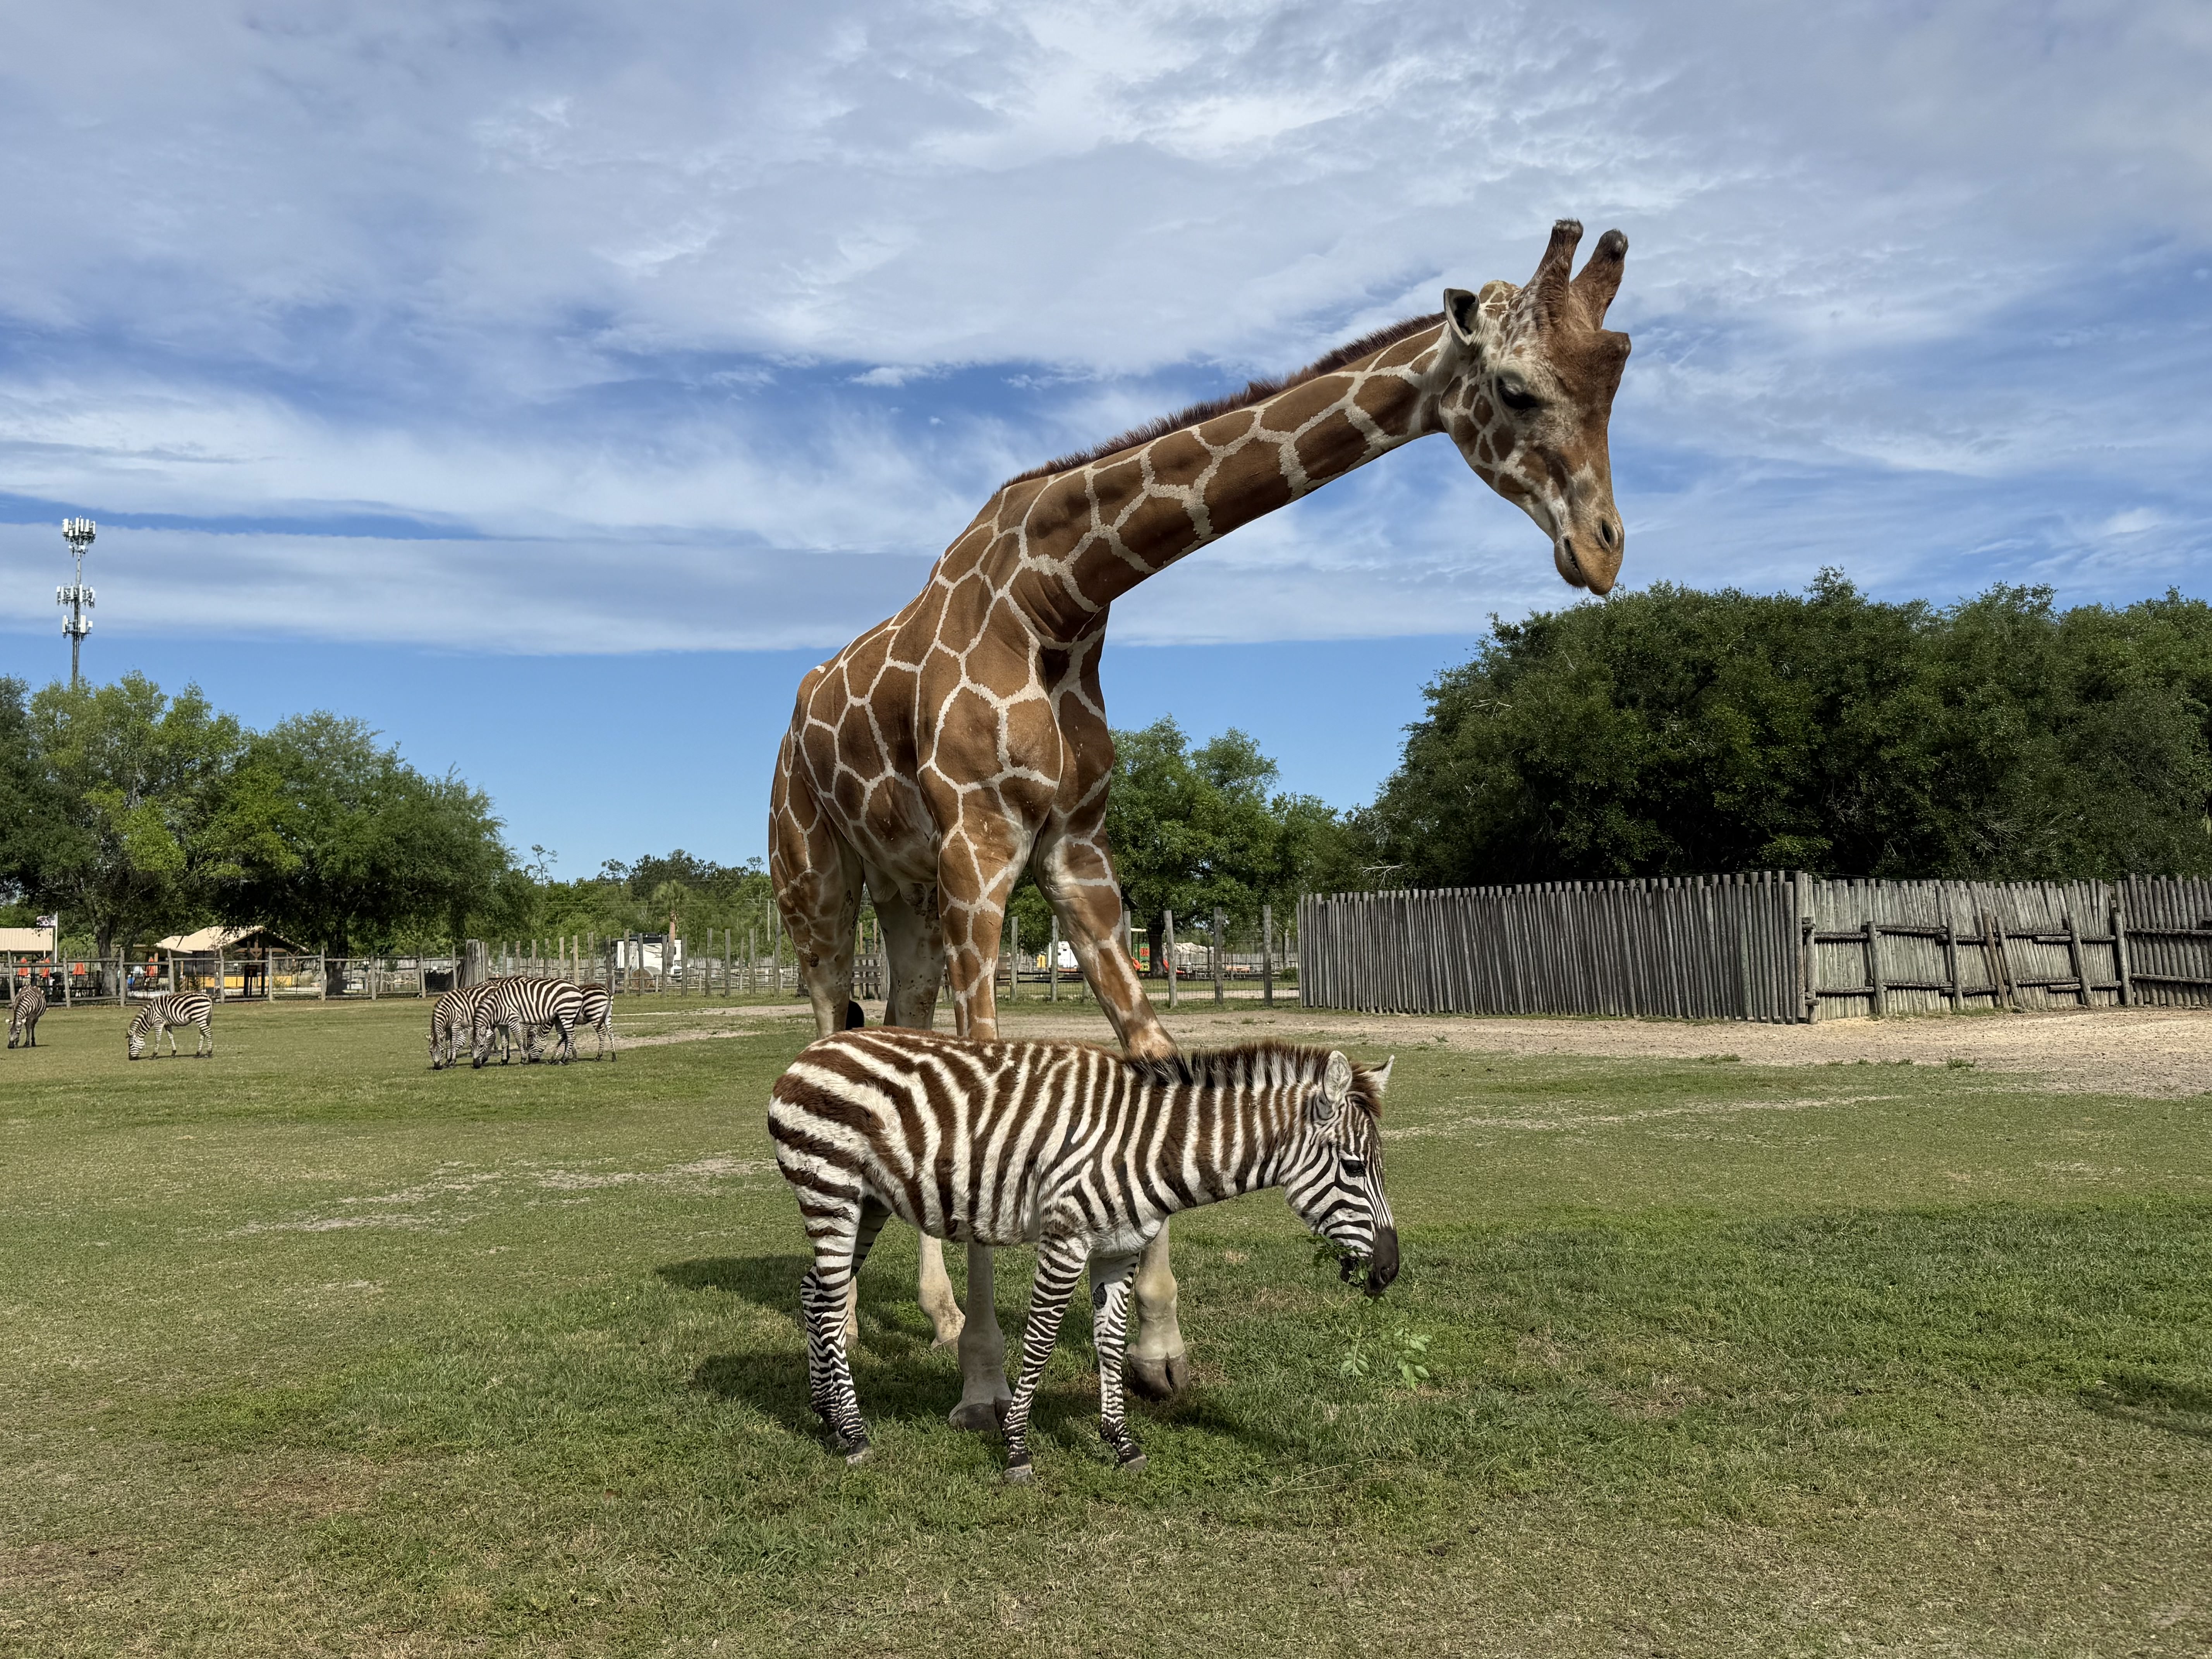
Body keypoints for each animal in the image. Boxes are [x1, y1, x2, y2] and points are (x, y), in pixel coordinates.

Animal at [7, 983, 46, 1048]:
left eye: (18, 1033)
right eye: (9, 1033)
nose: (10, 1046)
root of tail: (31, 986)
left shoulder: (31, 1017)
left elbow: (28, 1030)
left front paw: (27, 1044)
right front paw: (17, 1043)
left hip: (36, 1018)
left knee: (32, 1027)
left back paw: (33, 1043)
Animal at [127, 992, 215, 1059]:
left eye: (130, 1045)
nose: (130, 1058)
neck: (149, 1016)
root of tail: (208, 997)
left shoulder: (158, 1022)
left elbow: (158, 1038)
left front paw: (154, 1055)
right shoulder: (167, 1024)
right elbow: (171, 1037)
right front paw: (173, 1053)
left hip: (199, 1017)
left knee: (209, 1033)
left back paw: (208, 1053)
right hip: (205, 1019)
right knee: (203, 1034)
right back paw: (198, 1054)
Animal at [471, 976, 584, 1067]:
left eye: (481, 1046)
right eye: (471, 1047)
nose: (476, 1065)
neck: (497, 1007)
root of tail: (577, 988)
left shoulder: (514, 1020)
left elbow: (519, 1040)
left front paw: (523, 1060)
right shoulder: (503, 1025)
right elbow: (505, 1042)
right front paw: (503, 1061)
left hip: (567, 1014)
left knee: (571, 1036)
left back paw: (563, 1060)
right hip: (559, 1017)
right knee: (563, 1037)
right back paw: (553, 1060)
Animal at [769, 1030, 1398, 1480]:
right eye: (1353, 1167)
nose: (1389, 1272)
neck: (1151, 1147)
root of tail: (813, 1051)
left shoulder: (1117, 1251)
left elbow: (1110, 1343)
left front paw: (1121, 1442)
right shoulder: (1066, 1239)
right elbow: (1042, 1339)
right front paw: (1017, 1447)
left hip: (867, 1203)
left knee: (814, 1291)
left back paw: (827, 1416)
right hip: (830, 1190)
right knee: (830, 1300)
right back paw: (855, 1433)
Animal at [771, 218, 1631, 1428]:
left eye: (1617, 378)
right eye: (1514, 387)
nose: (1602, 549)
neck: (1062, 598)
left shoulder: (1076, 851)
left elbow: (1151, 1059)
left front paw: (1158, 1350)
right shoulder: (983, 849)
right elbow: (991, 1072)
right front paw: (986, 1380)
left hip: (906, 892)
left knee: (900, 1031)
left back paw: (922, 1305)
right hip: (817, 879)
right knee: (829, 1027)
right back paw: (867, 1315)